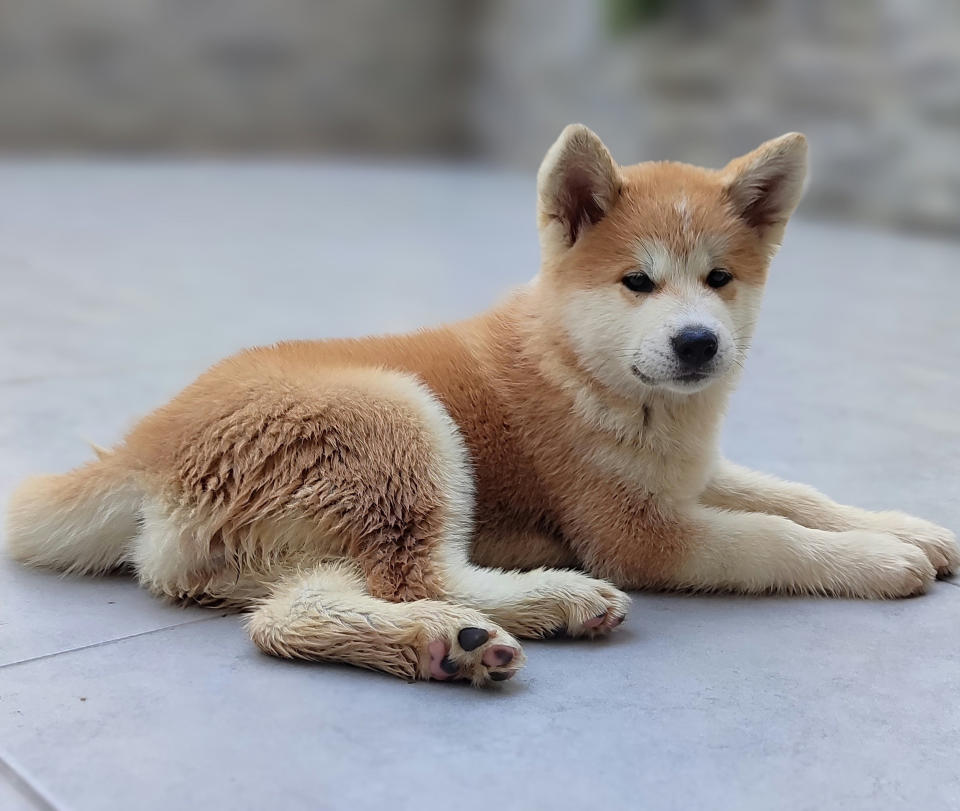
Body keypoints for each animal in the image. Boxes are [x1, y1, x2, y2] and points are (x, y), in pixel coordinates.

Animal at [3, 127, 956, 684]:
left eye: (720, 279)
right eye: (637, 281)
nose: (698, 344)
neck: (582, 368)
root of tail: (147, 444)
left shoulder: (693, 472)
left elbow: (797, 496)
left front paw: (907, 526)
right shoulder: (636, 530)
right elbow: (770, 536)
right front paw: (878, 558)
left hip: (281, 547)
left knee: (284, 620)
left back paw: (438, 641)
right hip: (399, 423)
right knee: (424, 572)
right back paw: (548, 600)